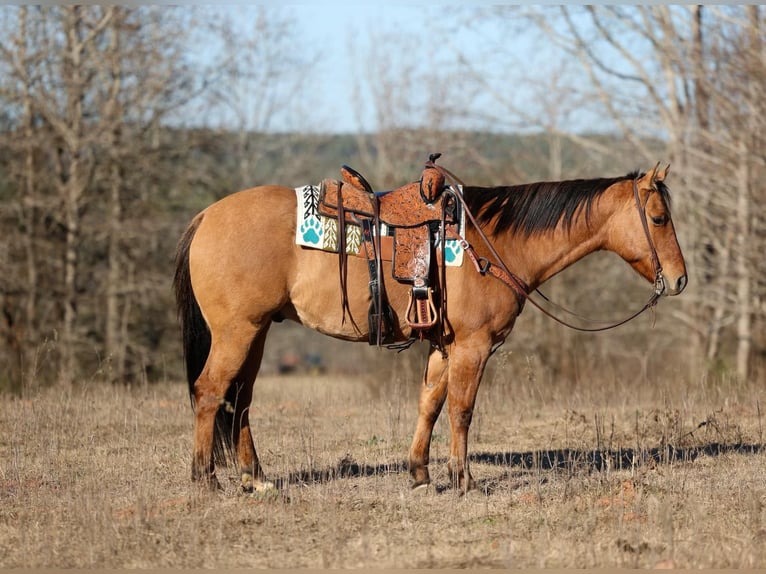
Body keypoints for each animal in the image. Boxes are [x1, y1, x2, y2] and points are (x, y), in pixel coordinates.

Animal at [176, 161, 688, 496]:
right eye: (659, 218)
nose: (680, 279)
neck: (491, 241)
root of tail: (205, 217)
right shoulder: (473, 346)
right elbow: (461, 410)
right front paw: (463, 480)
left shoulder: (444, 346)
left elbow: (430, 404)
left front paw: (420, 473)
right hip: (237, 332)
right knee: (209, 392)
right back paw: (207, 480)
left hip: (256, 333)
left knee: (240, 400)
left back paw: (256, 478)